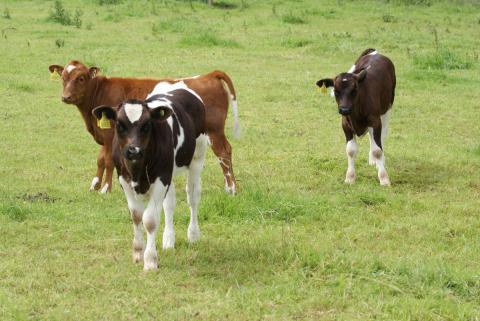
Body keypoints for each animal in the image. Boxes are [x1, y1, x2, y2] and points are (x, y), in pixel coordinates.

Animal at [48, 61, 240, 194]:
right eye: (63, 78)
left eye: (80, 78)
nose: (65, 97)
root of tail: (208, 75)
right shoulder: (104, 136)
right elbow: (101, 159)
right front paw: (94, 185)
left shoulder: (110, 136)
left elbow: (109, 161)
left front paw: (105, 189)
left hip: (214, 130)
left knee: (223, 152)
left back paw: (231, 188)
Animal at [93, 81, 207, 268]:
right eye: (119, 124)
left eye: (147, 124)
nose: (134, 150)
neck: (137, 171)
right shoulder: (124, 179)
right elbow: (136, 215)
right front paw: (138, 252)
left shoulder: (161, 178)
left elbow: (150, 220)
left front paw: (150, 260)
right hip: (170, 171)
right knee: (169, 204)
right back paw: (168, 240)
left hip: (197, 157)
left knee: (193, 197)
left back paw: (193, 234)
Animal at [316, 47, 396, 185]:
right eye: (336, 91)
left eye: (354, 89)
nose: (344, 109)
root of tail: (375, 53)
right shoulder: (345, 124)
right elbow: (350, 150)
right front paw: (350, 177)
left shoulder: (375, 121)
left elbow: (377, 150)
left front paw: (384, 178)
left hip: (387, 109)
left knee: (382, 136)